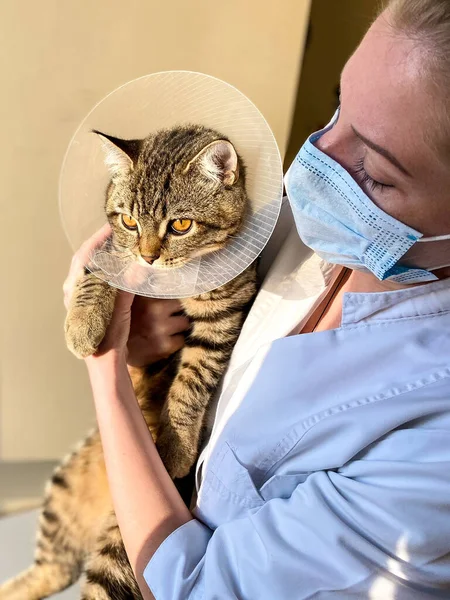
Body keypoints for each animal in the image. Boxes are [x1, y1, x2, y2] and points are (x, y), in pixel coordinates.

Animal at [0, 124, 256, 596]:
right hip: (64, 488)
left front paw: (177, 445)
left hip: (127, 547)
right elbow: (96, 275)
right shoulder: (106, 252)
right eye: (129, 221)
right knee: (52, 569)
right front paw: (82, 323)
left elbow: (191, 385)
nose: (148, 255)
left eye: (181, 224)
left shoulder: (221, 320)